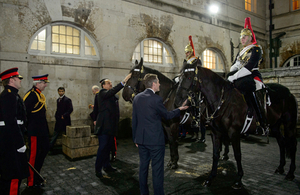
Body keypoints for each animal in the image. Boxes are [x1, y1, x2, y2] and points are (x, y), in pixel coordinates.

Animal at [175, 59, 298, 189]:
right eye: (180, 77)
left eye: (189, 77)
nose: (177, 101)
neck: (223, 101)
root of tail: (289, 93)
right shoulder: (216, 133)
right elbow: (215, 154)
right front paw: (210, 178)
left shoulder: (234, 133)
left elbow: (238, 154)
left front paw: (238, 179)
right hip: (274, 126)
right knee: (282, 142)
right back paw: (280, 167)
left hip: (289, 124)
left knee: (293, 144)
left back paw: (290, 173)